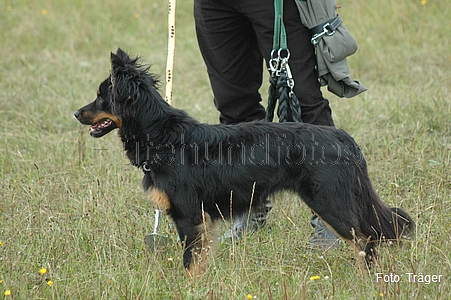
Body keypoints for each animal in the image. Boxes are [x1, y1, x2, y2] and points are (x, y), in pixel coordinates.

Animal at [75, 48, 416, 276]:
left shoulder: (189, 216)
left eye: (101, 96)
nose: (76, 113)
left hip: (329, 202)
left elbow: (189, 262)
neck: (161, 135)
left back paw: (365, 279)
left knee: (365, 240)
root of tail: (343, 138)